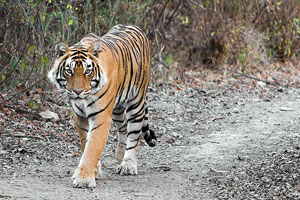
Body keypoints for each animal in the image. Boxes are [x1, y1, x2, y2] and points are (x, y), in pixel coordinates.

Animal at [47, 24, 157, 188]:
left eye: (87, 71)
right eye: (69, 71)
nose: (78, 91)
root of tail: (134, 26)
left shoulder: (101, 117)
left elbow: (92, 147)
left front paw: (84, 179)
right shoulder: (79, 116)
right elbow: (86, 143)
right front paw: (95, 171)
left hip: (136, 103)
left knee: (134, 135)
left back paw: (128, 165)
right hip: (117, 109)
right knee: (123, 129)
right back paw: (120, 157)